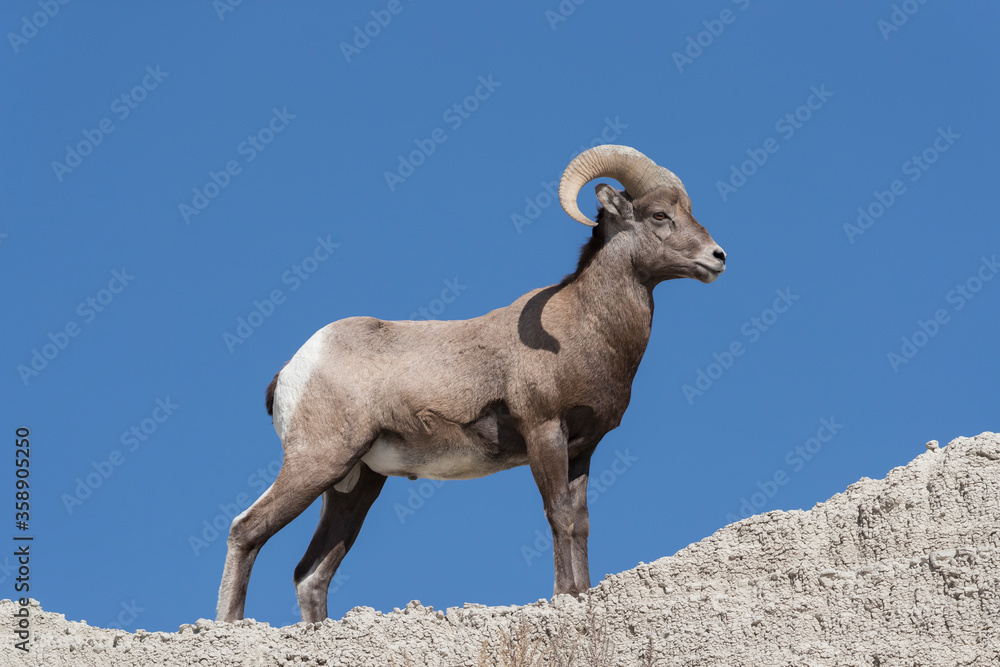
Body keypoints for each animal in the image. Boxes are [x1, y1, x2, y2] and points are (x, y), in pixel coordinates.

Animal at [217, 144, 727, 623]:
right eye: (659, 215)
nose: (718, 257)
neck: (582, 327)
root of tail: (293, 368)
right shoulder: (544, 432)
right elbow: (558, 515)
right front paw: (566, 594)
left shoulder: (583, 449)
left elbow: (580, 521)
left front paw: (582, 593)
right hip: (318, 461)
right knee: (247, 530)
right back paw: (229, 625)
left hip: (356, 485)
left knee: (311, 574)